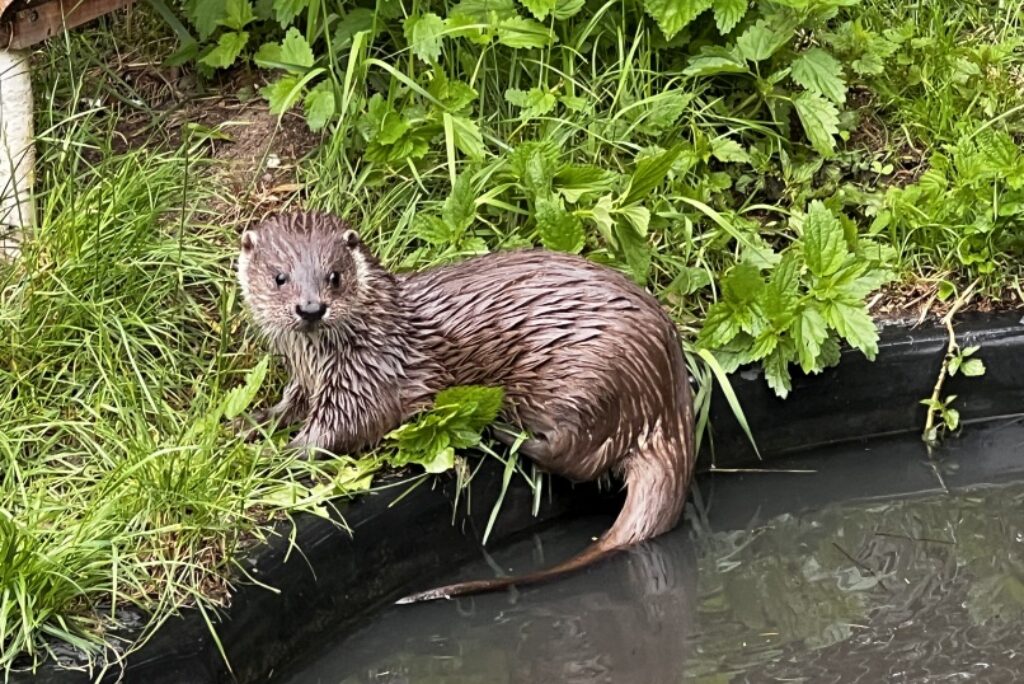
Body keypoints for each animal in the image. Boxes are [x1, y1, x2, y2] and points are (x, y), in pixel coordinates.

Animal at [235, 209, 692, 602]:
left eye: (334, 276)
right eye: (279, 277)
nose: (311, 308)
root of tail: (669, 403)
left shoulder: (368, 380)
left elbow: (336, 432)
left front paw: (273, 456)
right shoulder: (306, 379)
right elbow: (289, 405)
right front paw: (251, 425)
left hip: (589, 382)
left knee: (580, 458)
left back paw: (506, 433)